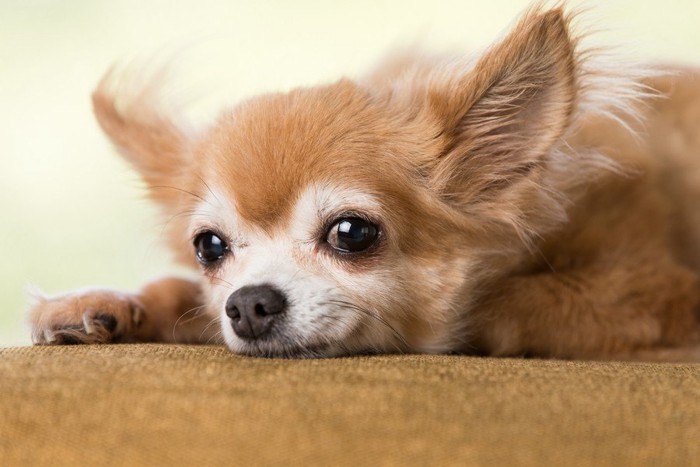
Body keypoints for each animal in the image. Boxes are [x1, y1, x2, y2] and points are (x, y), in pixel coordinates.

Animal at [27, 4, 700, 362]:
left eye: (351, 233)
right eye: (209, 247)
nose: (246, 302)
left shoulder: (657, 290)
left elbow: (498, 308)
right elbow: (182, 293)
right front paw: (101, 304)